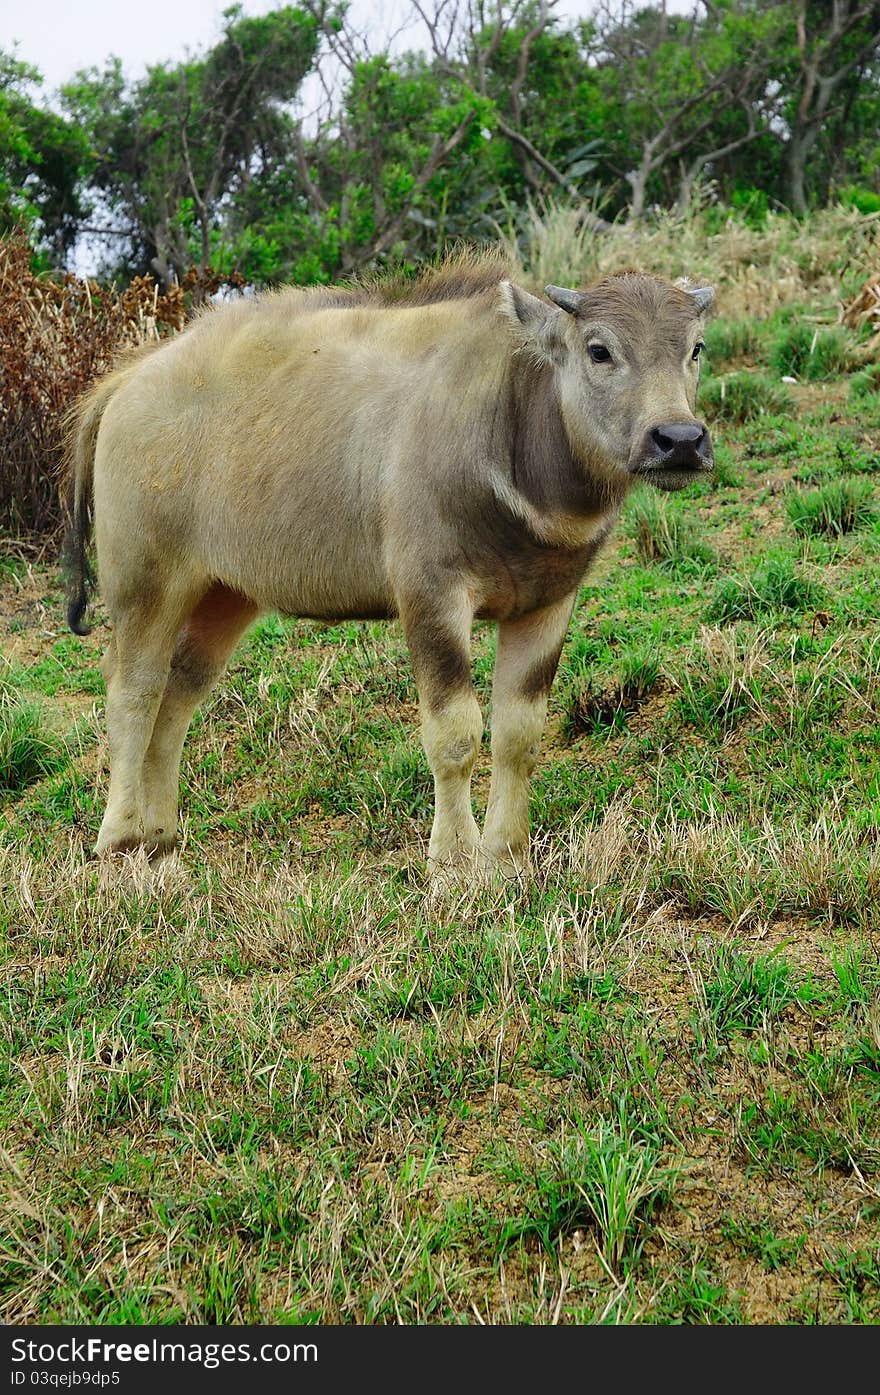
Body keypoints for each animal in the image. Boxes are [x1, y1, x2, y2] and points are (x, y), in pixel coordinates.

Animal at [63, 251, 714, 881]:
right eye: (599, 350)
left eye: (694, 349)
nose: (680, 439)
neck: (507, 425)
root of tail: (125, 381)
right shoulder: (432, 597)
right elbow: (455, 734)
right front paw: (454, 862)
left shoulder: (548, 603)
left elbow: (519, 734)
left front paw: (507, 857)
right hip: (146, 581)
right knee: (133, 691)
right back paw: (120, 842)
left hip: (224, 593)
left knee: (178, 694)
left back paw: (161, 843)